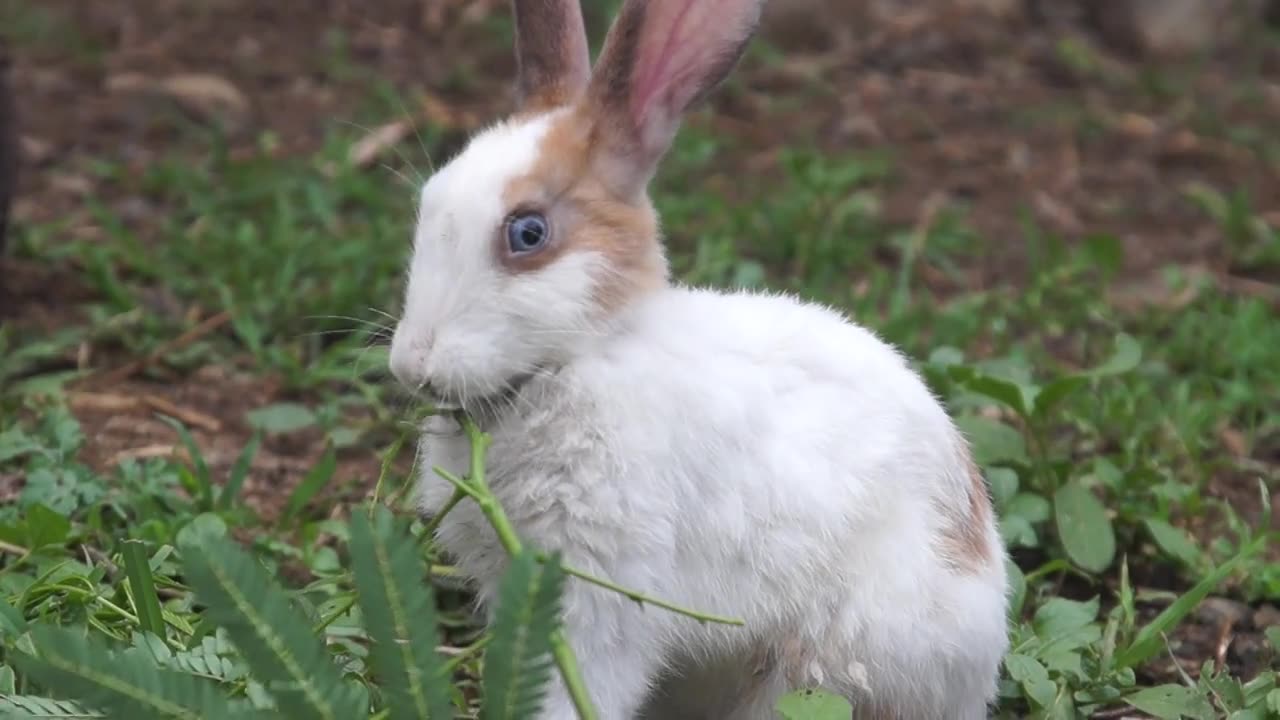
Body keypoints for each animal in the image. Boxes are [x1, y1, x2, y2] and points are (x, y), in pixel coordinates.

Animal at [389, 1, 1008, 717]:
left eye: (527, 232)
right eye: (428, 202)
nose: (411, 363)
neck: (579, 358)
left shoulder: (605, 592)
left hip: (817, 668)